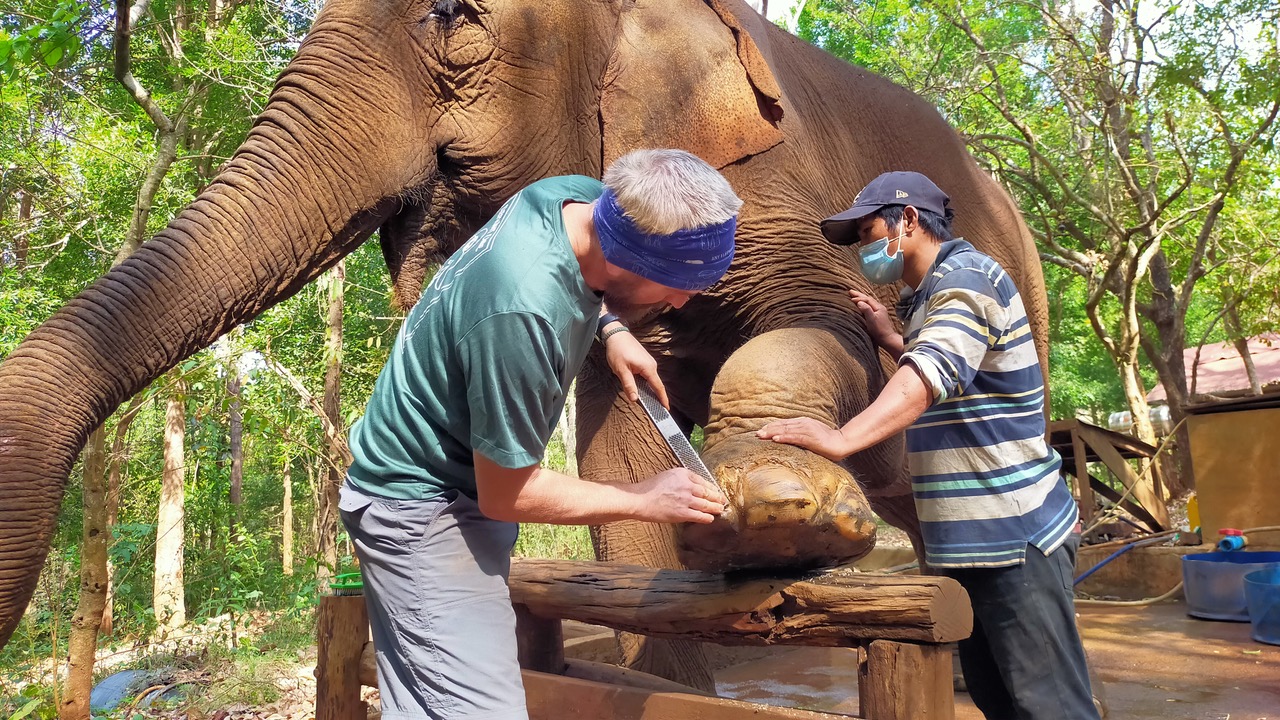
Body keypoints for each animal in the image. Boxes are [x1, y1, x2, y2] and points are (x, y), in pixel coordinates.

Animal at [0, 0, 1048, 691]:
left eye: (453, 13)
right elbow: (618, 456)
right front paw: (669, 672)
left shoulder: (781, 184)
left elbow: (845, 331)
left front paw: (780, 506)